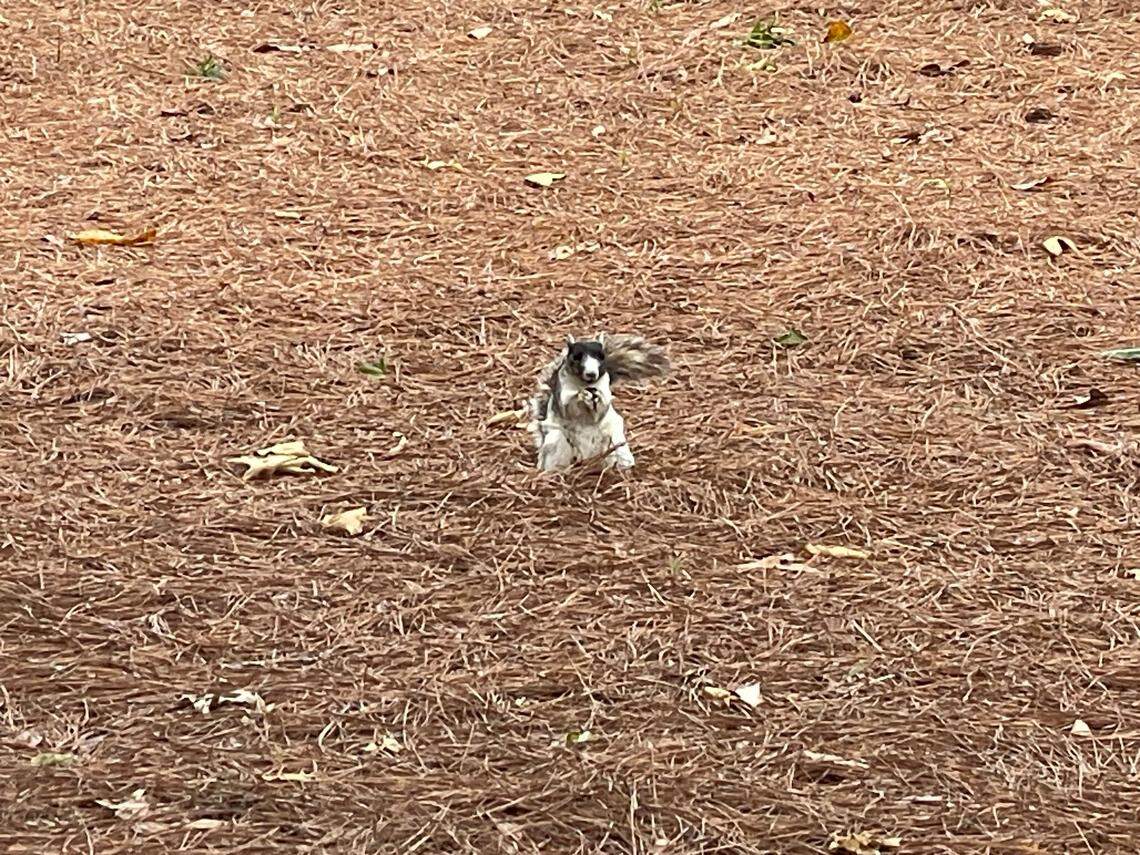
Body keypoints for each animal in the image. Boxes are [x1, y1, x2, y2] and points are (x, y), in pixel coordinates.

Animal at [528, 333, 670, 472]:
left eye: (601, 356)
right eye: (576, 357)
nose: (591, 374)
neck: (586, 385)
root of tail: (587, 458)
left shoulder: (605, 390)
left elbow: (599, 411)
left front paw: (597, 398)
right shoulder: (562, 395)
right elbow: (569, 409)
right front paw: (581, 396)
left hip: (614, 438)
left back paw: (621, 467)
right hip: (556, 441)